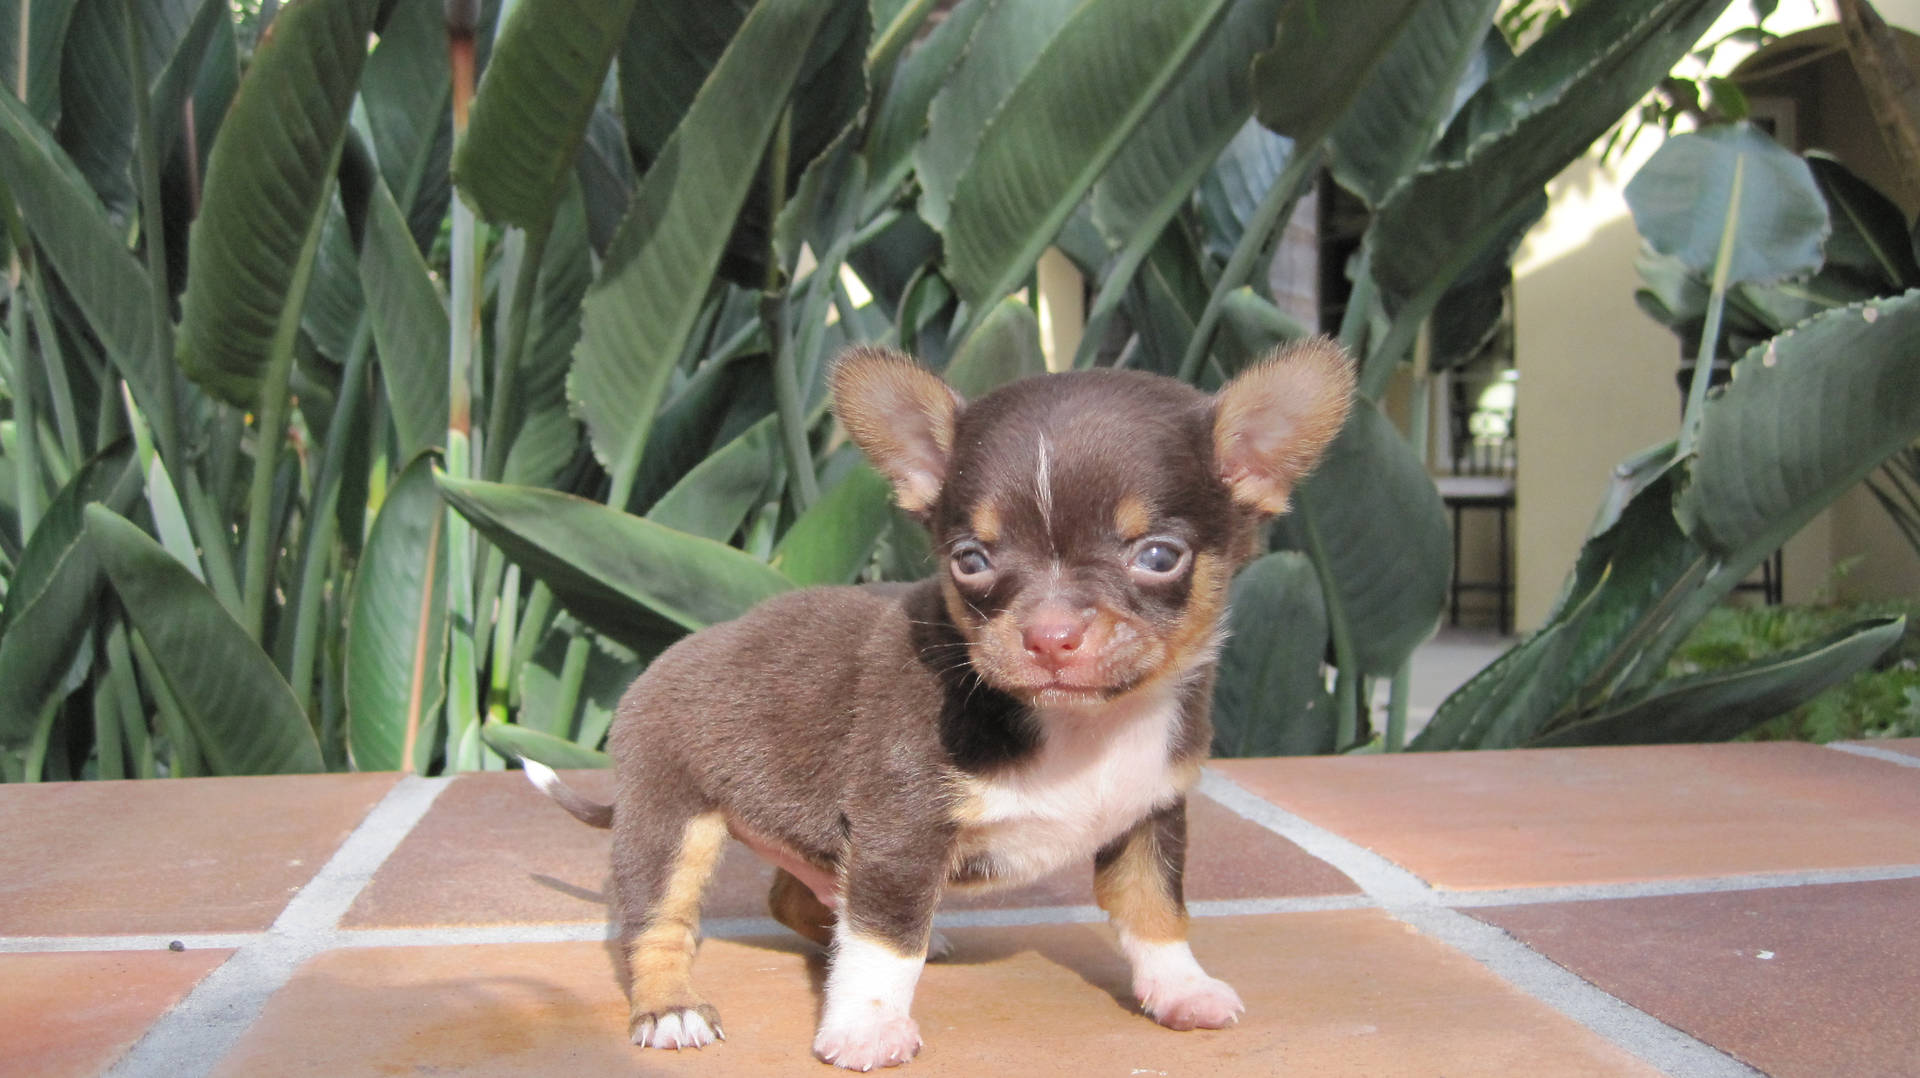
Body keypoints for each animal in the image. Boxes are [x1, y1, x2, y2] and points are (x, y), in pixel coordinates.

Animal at [529, 338, 1351, 1068]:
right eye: (972, 560)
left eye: (1157, 556)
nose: (1051, 635)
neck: (1084, 727)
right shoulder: (901, 834)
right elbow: (885, 942)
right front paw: (867, 1027)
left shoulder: (1150, 817)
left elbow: (1157, 911)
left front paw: (1182, 989)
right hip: (671, 823)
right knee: (656, 926)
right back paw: (670, 1009)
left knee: (800, 898)